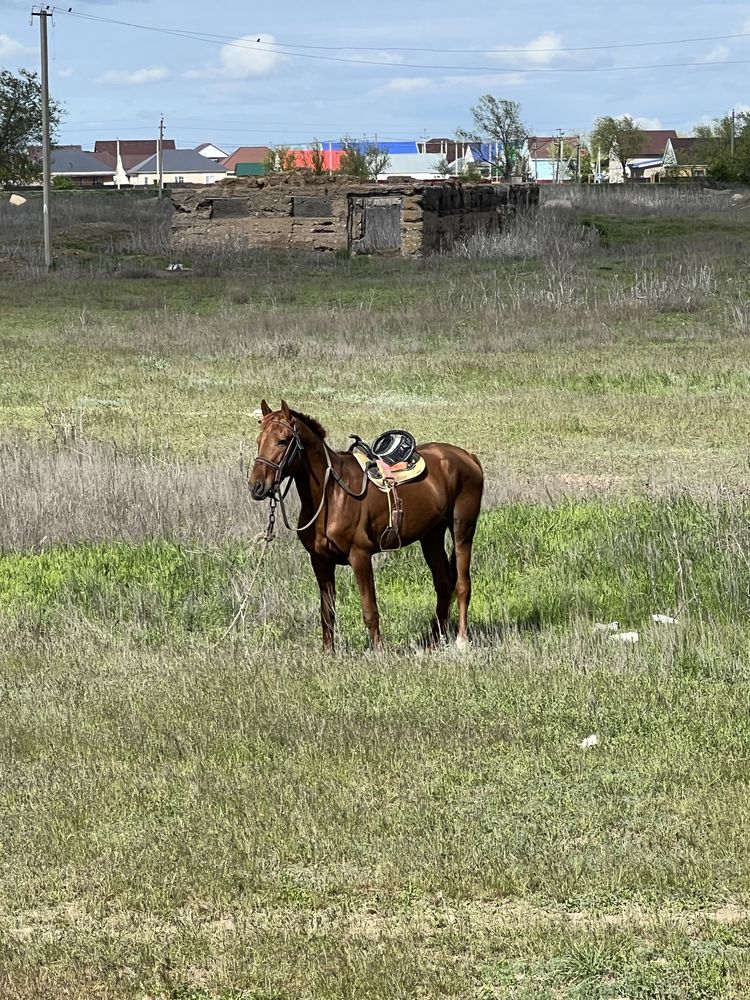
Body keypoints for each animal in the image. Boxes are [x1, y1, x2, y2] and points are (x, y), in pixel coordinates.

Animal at [250, 402, 484, 652]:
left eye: (283, 441)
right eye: (259, 440)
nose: (257, 486)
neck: (331, 495)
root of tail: (468, 457)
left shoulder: (360, 556)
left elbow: (369, 609)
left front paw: (379, 651)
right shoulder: (320, 561)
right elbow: (327, 612)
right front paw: (328, 652)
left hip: (462, 530)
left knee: (462, 584)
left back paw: (461, 640)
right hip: (431, 536)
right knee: (443, 582)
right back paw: (433, 641)